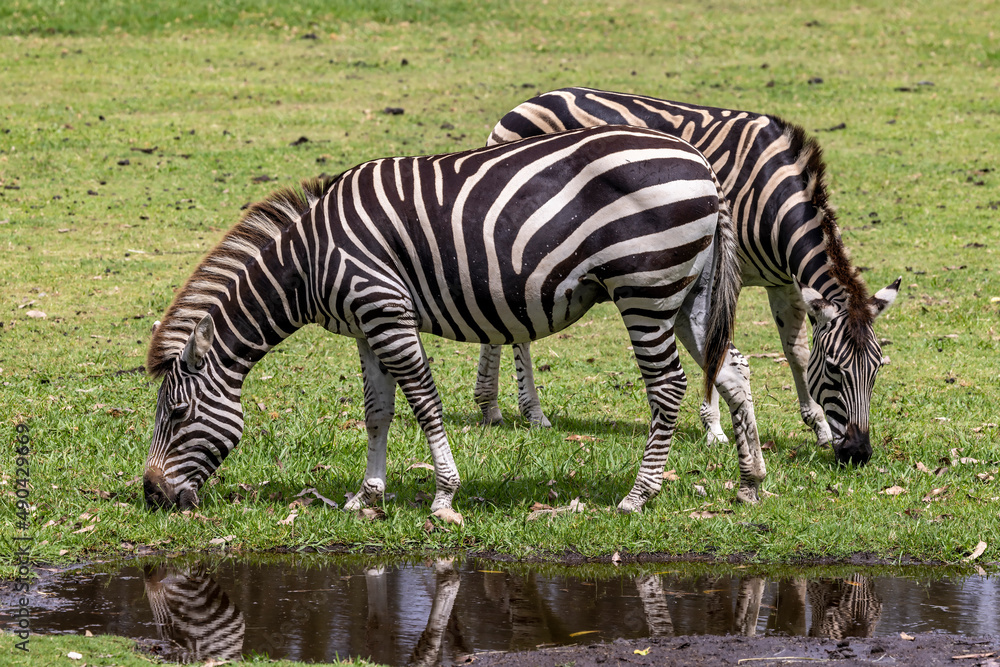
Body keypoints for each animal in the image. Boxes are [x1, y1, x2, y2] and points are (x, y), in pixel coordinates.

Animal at [143, 124, 758, 514]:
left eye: (175, 414)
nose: (150, 495)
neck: (309, 260)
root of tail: (703, 165)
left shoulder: (385, 311)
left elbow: (424, 403)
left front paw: (443, 496)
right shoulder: (366, 326)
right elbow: (377, 412)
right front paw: (366, 498)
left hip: (644, 289)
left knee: (669, 384)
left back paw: (639, 495)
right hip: (689, 291)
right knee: (732, 368)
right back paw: (752, 482)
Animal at [475, 87, 900, 466]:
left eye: (877, 369)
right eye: (834, 370)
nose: (859, 455)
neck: (773, 200)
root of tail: (522, 106)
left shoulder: (785, 282)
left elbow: (794, 350)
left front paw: (819, 428)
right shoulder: (724, 272)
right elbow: (717, 344)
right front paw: (714, 429)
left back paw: (489, 406)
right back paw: (531, 412)